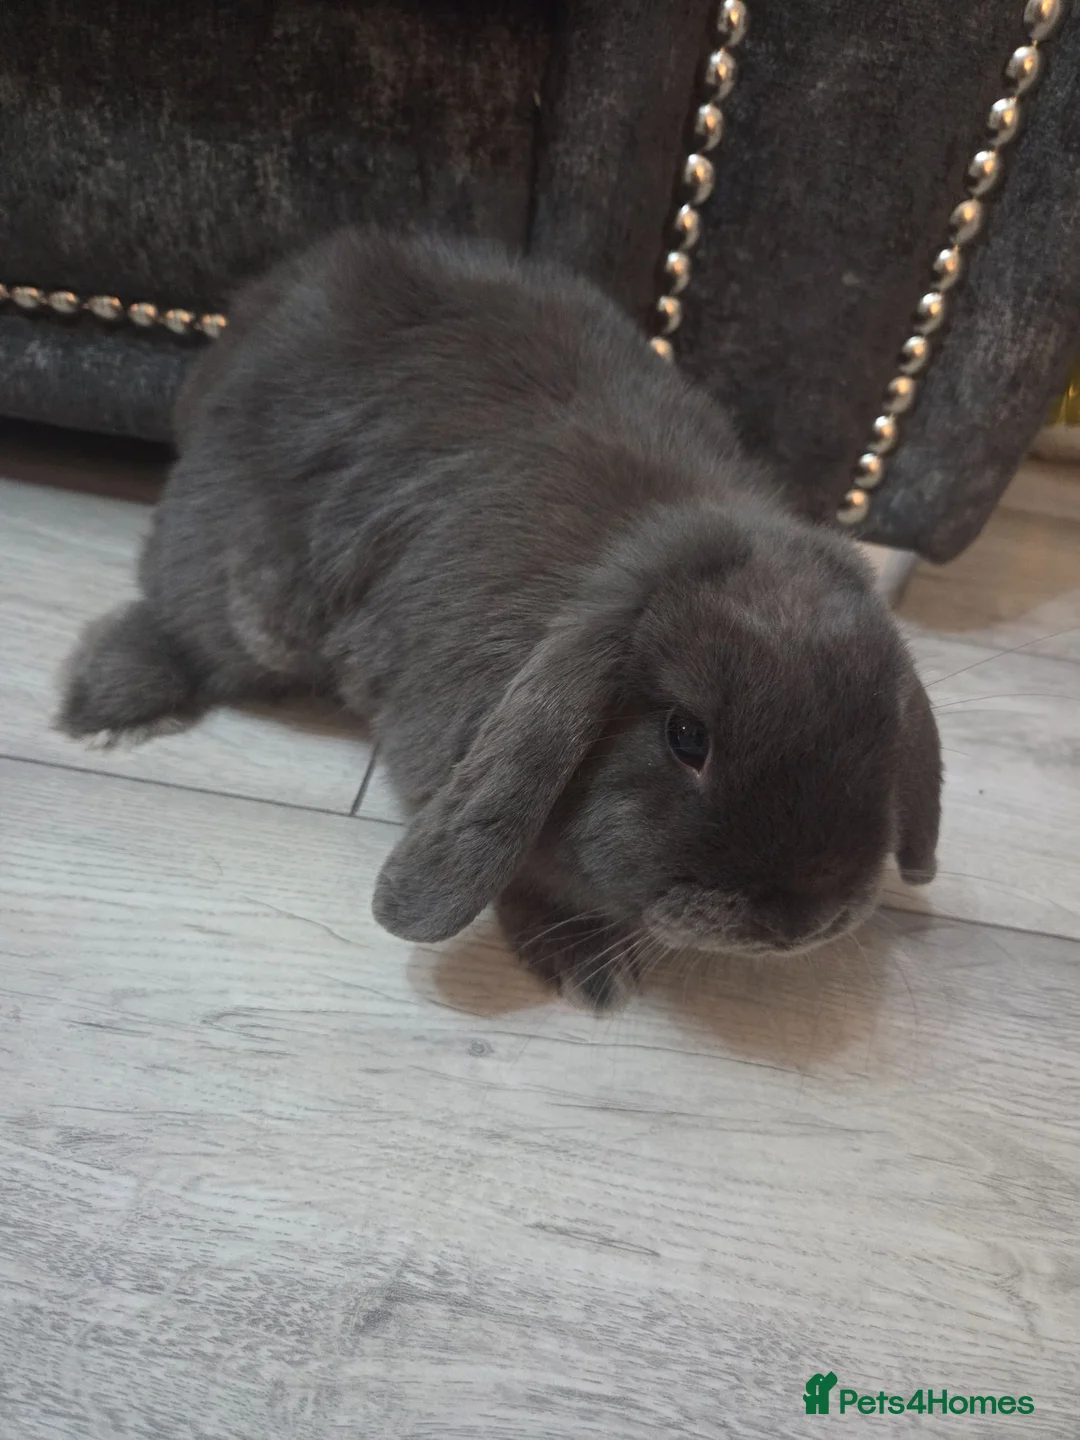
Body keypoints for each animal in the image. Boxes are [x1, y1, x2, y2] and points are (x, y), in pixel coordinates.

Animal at [58, 227, 941, 1007]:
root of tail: (258, 308)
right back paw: (108, 703)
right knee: (179, 617)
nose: (803, 917)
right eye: (687, 737)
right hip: (251, 597)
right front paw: (588, 965)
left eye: (880, 730)